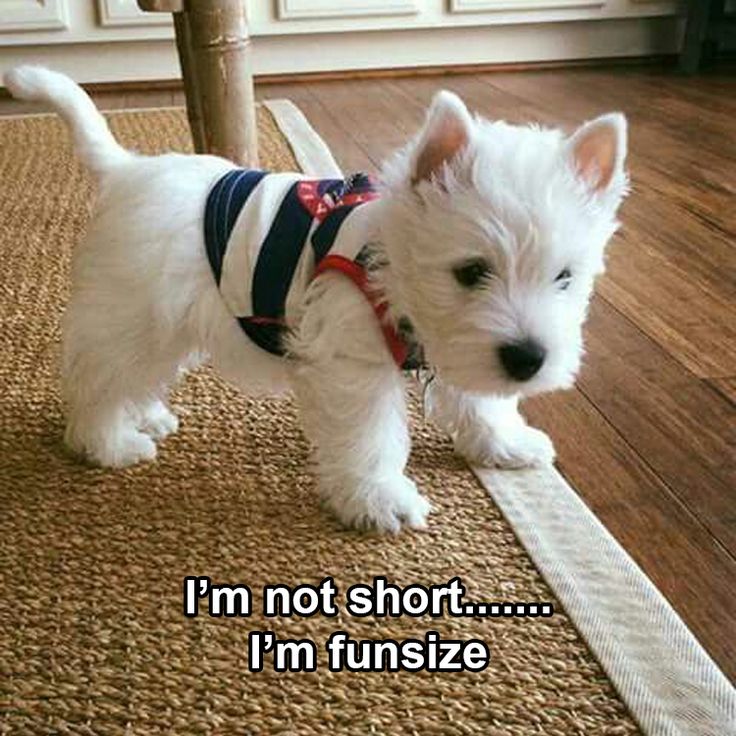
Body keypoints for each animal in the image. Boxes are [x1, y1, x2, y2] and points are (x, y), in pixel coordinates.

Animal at [4, 66, 628, 532]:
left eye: (565, 277)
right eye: (471, 271)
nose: (529, 360)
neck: (387, 265)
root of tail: (130, 169)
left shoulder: (460, 348)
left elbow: (482, 399)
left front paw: (504, 443)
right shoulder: (352, 366)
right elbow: (370, 436)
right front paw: (379, 500)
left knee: (129, 375)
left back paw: (147, 416)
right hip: (137, 316)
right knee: (100, 381)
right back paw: (109, 442)